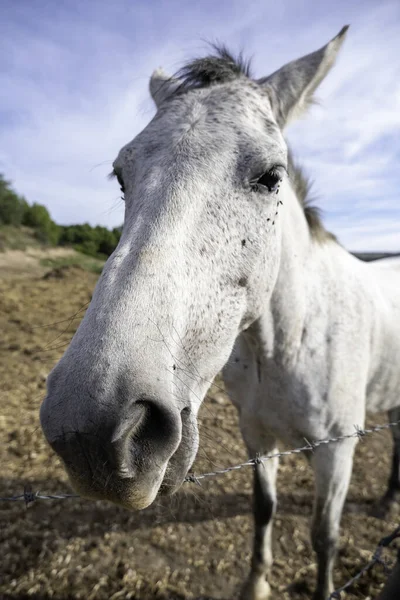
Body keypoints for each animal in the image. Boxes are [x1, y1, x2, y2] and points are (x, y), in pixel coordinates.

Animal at [39, 28, 400, 600]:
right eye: (121, 177)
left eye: (271, 176)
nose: (90, 433)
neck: (290, 343)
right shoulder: (257, 436)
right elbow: (263, 509)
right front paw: (255, 585)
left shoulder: (337, 451)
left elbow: (324, 537)